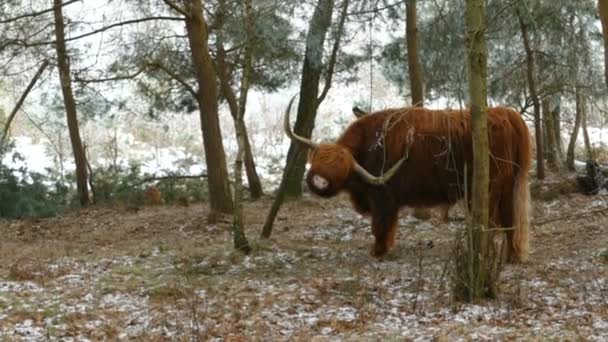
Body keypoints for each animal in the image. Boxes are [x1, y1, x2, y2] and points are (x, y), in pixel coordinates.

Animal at [288, 99, 528, 262]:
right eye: (318, 159)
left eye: (341, 169)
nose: (319, 181)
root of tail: (506, 114)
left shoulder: (383, 197)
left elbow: (380, 225)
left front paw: (378, 251)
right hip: (507, 188)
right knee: (510, 220)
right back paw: (511, 257)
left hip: (490, 187)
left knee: (492, 222)